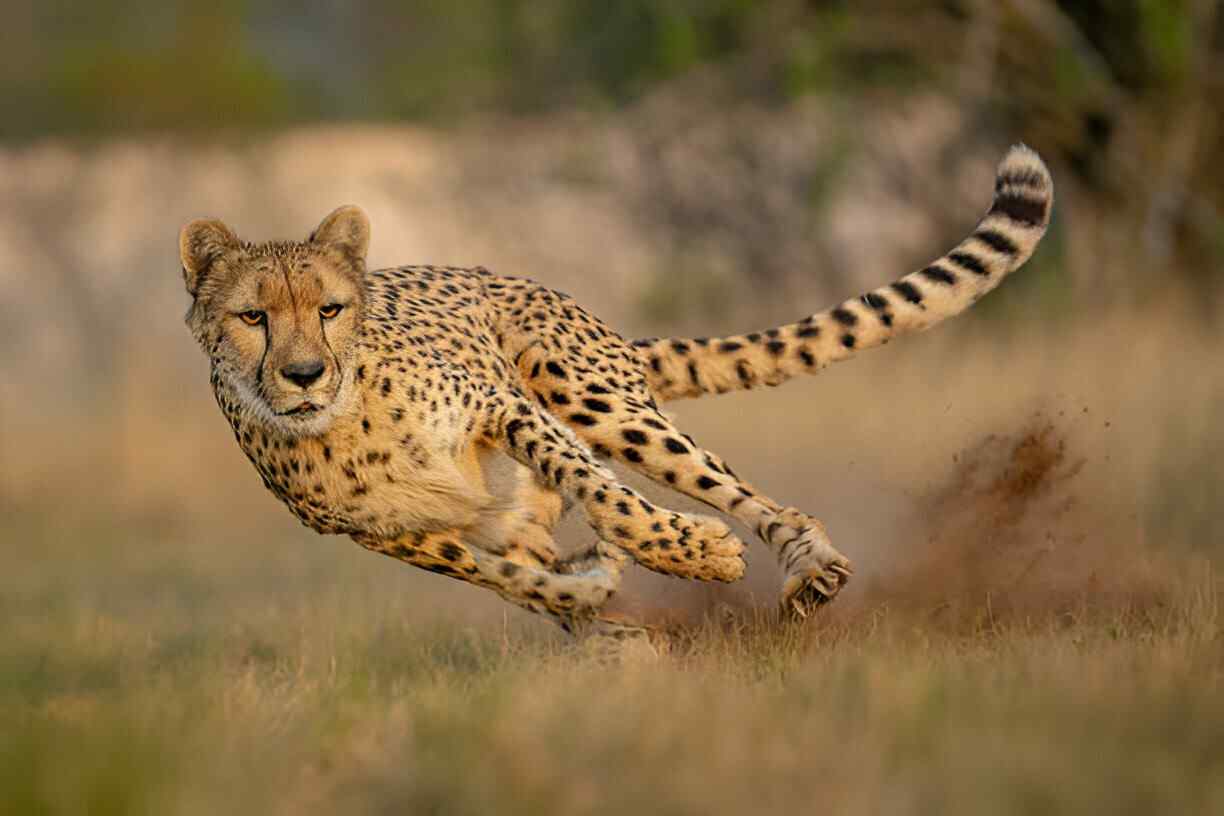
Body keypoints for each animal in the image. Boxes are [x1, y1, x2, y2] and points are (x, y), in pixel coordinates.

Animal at [179, 144, 1052, 638]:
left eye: (329, 309)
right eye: (254, 316)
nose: (304, 374)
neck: (343, 421)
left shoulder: (504, 406)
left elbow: (607, 495)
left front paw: (692, 550)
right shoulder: (397, 538)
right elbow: (511, 578)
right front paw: (593, 592)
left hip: (587, 393)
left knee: (736, 493)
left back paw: (807, 565)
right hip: (525, 488)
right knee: (537, 548)